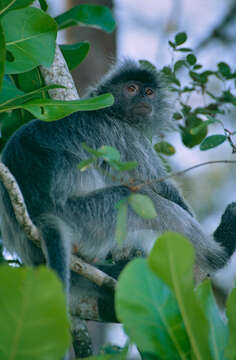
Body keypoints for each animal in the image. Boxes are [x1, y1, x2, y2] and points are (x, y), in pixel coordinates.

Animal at [0, 59, 236, 300]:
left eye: (149, 92)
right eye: (131, 89)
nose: (143, 99)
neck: (110, 111)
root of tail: (39, 214)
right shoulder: (124, 134)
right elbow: (155, 185)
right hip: (85, 216)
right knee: (143, 200)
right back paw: (220, 250)